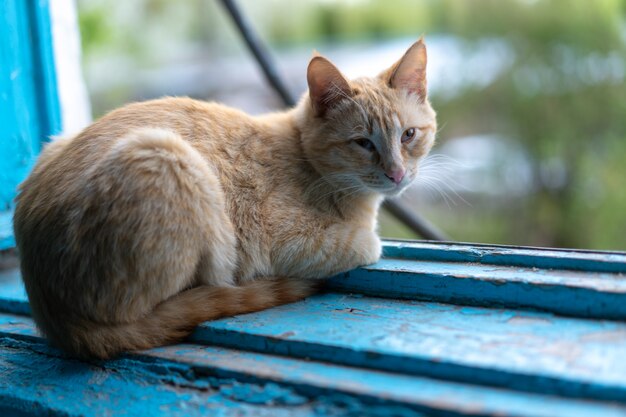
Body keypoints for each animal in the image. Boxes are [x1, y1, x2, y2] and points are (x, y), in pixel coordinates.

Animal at [13, 39, 434, 358]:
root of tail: (56, 319)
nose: (397, 174)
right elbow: (366, 244)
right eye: (363, 143)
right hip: (167, 158)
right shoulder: (291, 243)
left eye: (409, 135)